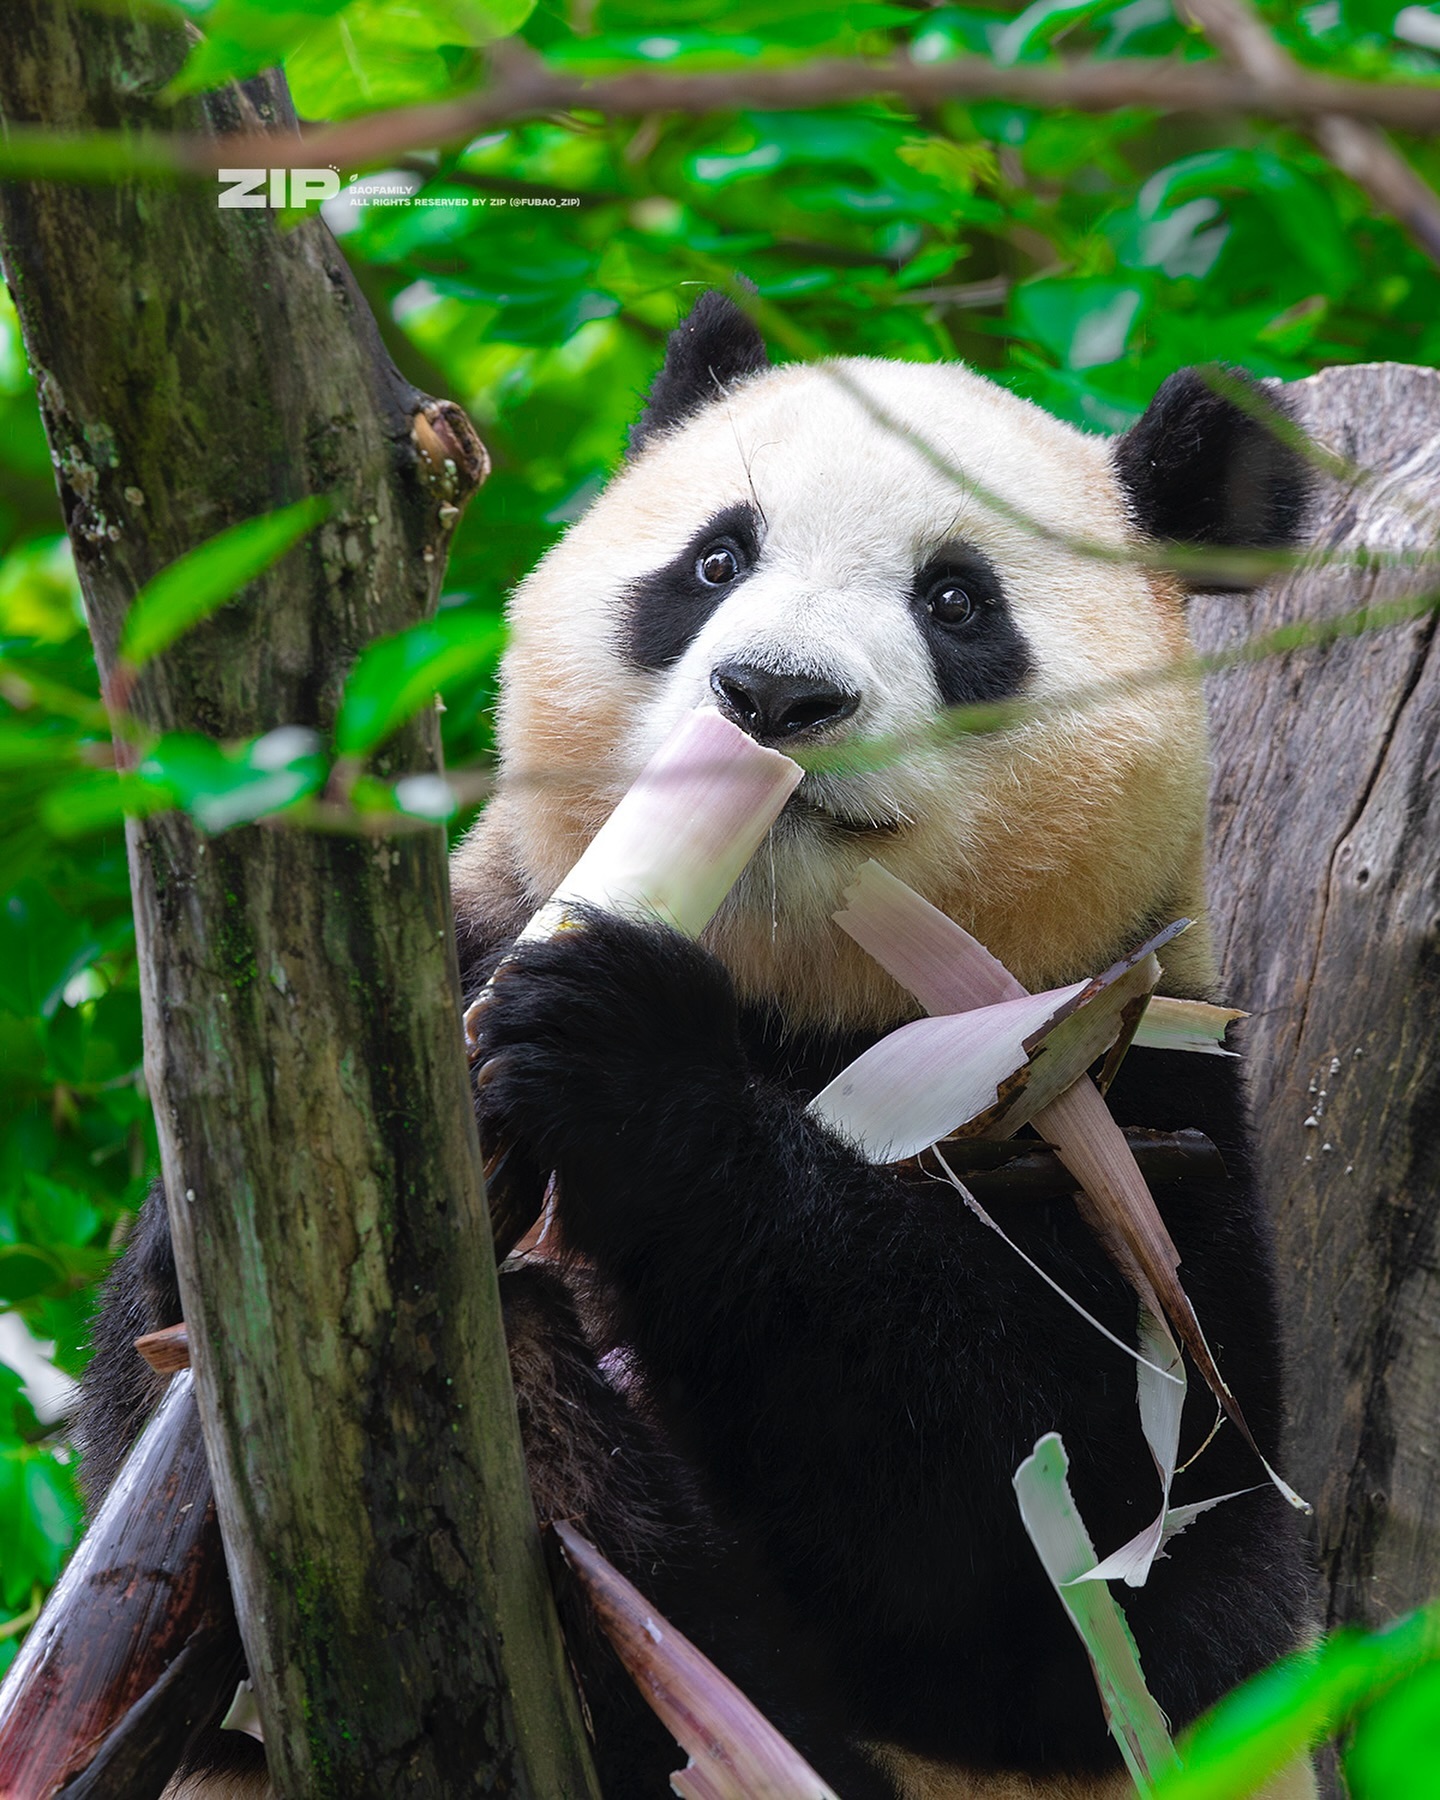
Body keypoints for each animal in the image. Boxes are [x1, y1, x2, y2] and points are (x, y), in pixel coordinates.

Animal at [76, 295, 1317, 1800]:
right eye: (717, 558)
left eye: (956, 603)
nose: (772, 696)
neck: (784, 988)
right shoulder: (477, 932)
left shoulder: (1124, 1101)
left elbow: (1077, 1553)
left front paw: (626, 1062)